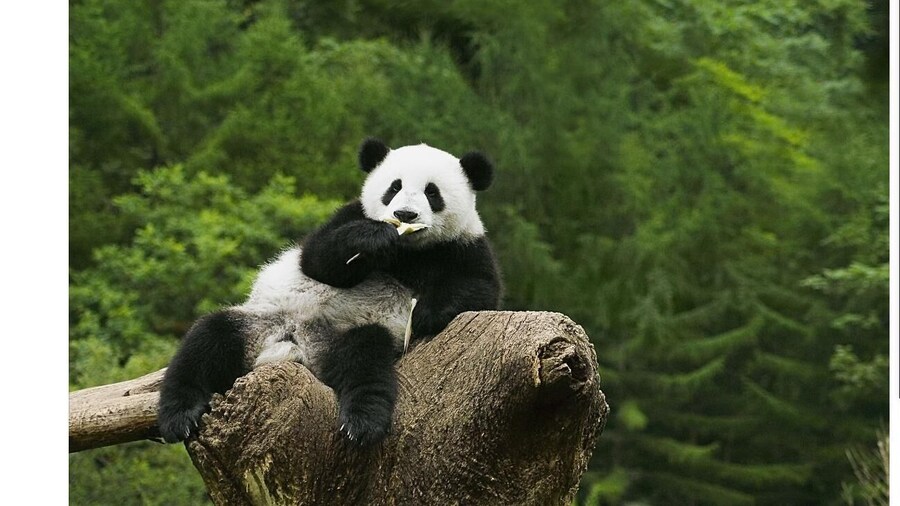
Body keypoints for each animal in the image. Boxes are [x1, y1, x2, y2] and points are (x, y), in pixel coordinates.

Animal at [158, 138, 502, 446]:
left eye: (432, 192)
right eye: (394, 187)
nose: (404, 215)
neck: (408, 250)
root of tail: (296, 344)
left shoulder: (463, 246)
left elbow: (480, 289)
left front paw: (426, 313)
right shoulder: (349, 215)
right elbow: (317, 259)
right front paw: (373, 239)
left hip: (347, 335)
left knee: (365, 360)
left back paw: (362, 423)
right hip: (260, 321)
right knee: (207, 341)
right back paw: (180, 416)